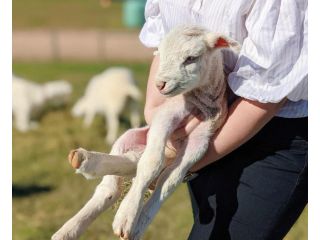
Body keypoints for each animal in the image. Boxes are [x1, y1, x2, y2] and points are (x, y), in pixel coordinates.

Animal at [51, 25, 239, 240]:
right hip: (129, 136)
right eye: (161, 54)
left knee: (131, 163)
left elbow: (169, 180)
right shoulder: (166, 115)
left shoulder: (200, 140)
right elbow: (151, 163)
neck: (199, 103)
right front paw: (126, 216)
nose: (160, 84)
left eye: (191, 58)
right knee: (111, 185)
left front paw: (138, 224)